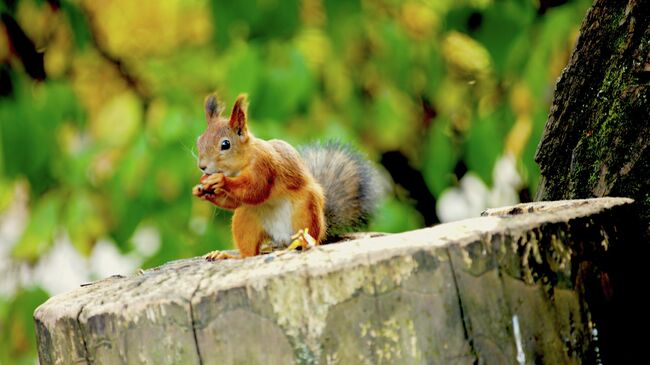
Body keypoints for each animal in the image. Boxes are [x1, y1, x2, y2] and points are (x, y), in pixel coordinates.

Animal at [189, 94, 380, 258]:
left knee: (310, 238)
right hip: (246, 219)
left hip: (306, 211)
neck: (243, 162)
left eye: (225, 144)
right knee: (249, 254)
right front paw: (201, 190)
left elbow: (255, 190)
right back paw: (226, 256)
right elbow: (235, 201)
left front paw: (220, 180)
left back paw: (303, 242)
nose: (202, 166)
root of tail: (282, 239)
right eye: (199, 140)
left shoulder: (264, 166)